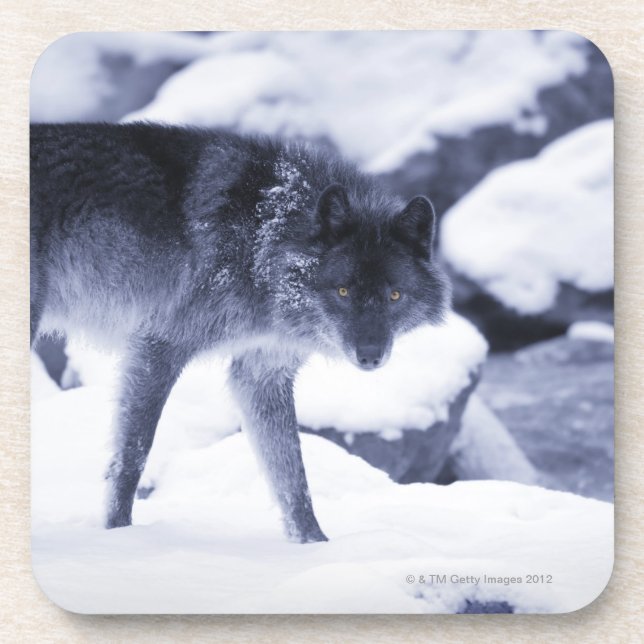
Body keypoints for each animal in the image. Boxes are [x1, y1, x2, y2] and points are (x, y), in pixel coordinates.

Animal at [30, 122, 450, 543]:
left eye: (394, 295)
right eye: (344, 291)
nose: (370, 355)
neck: (263, 237)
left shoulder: (262, 372)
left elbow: (293, 477)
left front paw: (314, 545)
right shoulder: (159, 346)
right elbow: (133, 454)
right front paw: (118, 534)